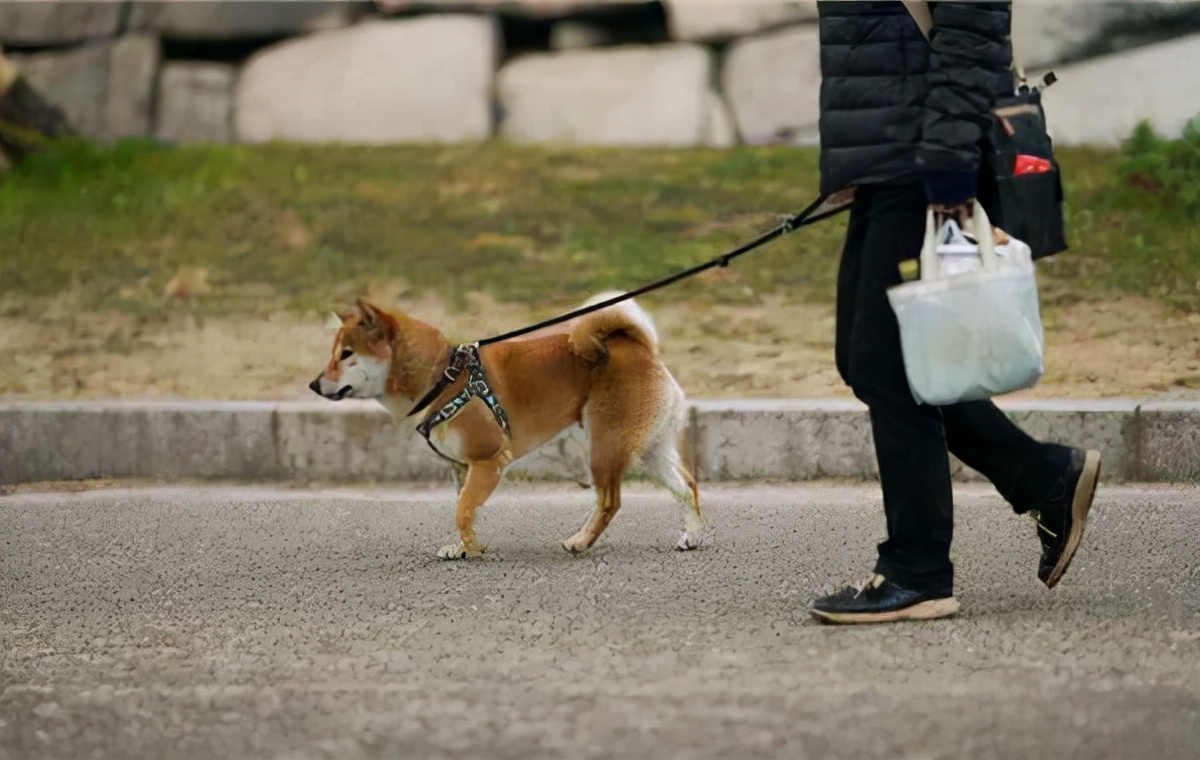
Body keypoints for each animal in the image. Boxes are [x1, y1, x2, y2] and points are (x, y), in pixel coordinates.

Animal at [307, 292, 700, 559]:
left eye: (346, 354)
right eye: (332, 353)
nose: (313, 385)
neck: (442, 379)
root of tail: (638, 347)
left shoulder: (489, 460)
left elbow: (462, 511)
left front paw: (472, 549)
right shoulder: (462, 468)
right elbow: (463, 509)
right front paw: (463, 547)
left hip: (605, 447)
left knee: (610, 501)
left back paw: (580, 541)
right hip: (650, 448)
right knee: (688, 487)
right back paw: (692, 536)